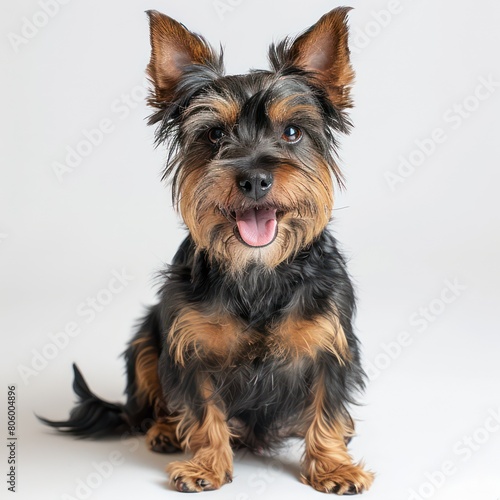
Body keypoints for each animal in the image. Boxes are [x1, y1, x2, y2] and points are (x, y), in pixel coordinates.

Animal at [41, 8, 374, 496]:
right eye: (215, 134)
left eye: (292, 132)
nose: (254, 178)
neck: (256, 269)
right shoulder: (190, 345)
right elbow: (201, 409)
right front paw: (206, 463)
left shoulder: (328, 345)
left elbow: (326, 408)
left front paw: (333, 466)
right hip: (146, 335)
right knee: (150, 395)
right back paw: (163, 430)